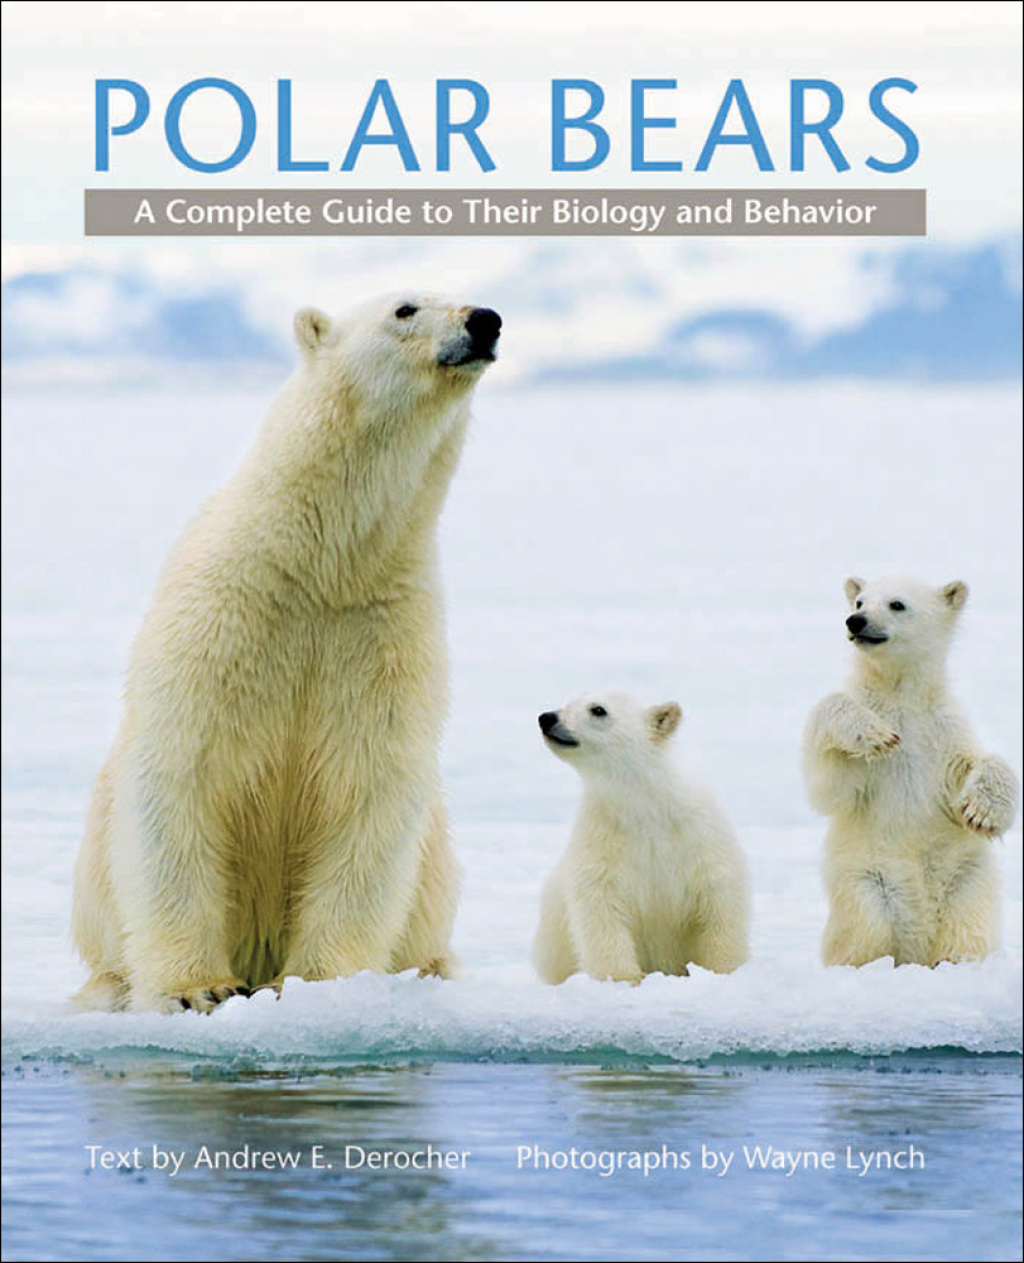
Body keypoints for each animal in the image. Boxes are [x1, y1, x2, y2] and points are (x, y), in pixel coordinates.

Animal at [71, 293, 502, 1013]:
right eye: (405, 307)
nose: (485, 320)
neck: (321, 566)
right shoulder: (224, 620)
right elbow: (180, 777)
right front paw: (198, 987)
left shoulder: (383, 638)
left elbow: (369, 795)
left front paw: (313, 982)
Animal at [532, 691, 750, 984]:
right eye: (570, 701)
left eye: (598, 709)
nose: (547, 718)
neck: (644, 803)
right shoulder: (603, 836)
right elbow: (601, 905)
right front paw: (623, 978)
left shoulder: (699, 833)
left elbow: (718, 895)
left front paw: (723, 970)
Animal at [803, 575, 1019, 968]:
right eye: (859, 601)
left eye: (897, 604)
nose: (855, 621)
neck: (900, 695)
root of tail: (917, 948)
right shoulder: (869, 747)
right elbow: (832, 785)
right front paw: (872, 732)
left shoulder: (944, 734)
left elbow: (981, 764)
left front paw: (981, 812)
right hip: (867, 882)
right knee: (864, 928)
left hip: (966, 879)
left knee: (968, 926)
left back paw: (955, 960)